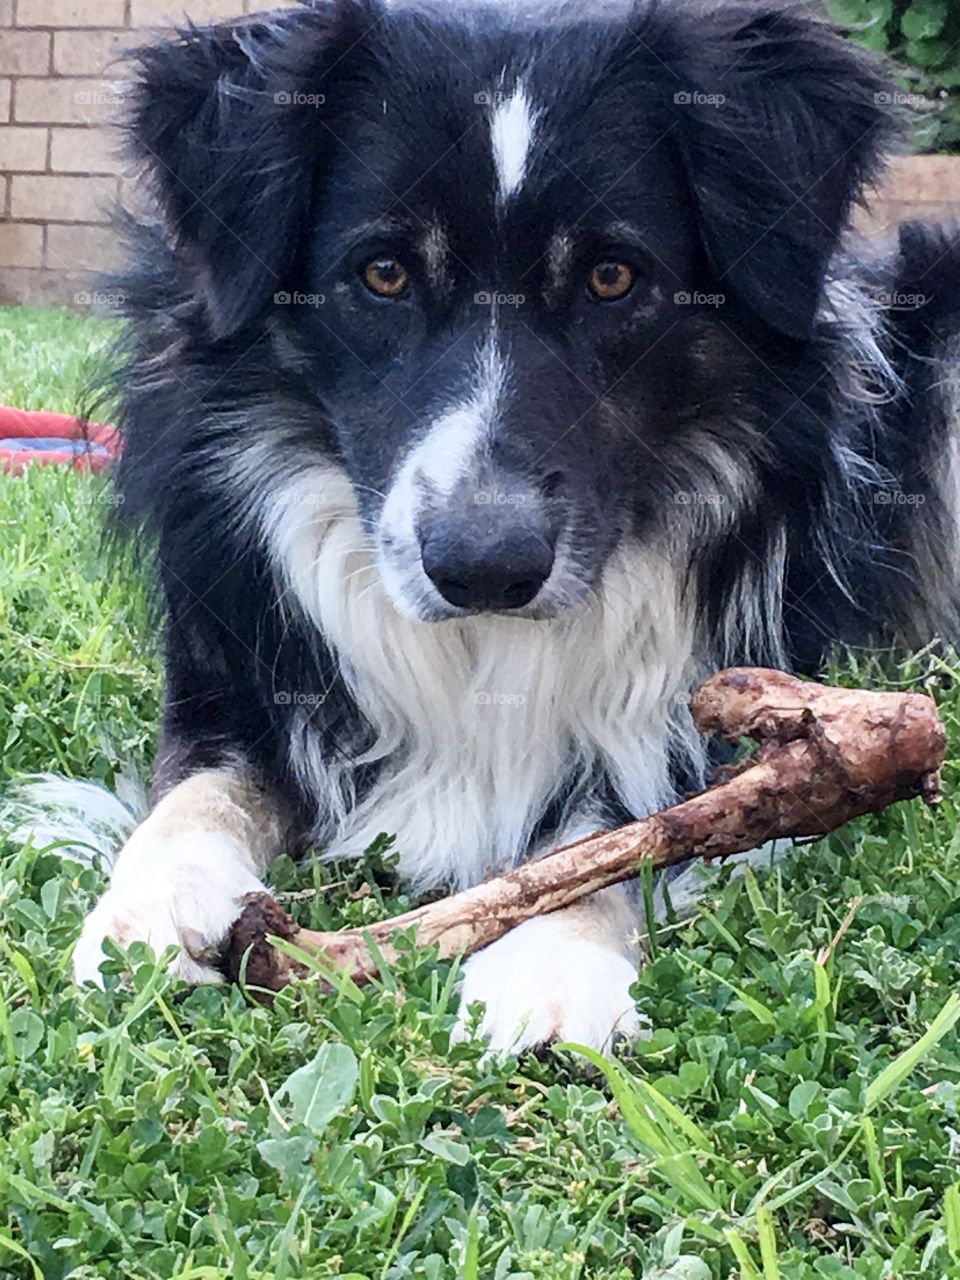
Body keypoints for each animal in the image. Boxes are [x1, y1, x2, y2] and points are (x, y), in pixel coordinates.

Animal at [37, 0, 960, 1049]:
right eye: (383, 273)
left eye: (612, 278)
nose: (485, 567)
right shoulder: (227, 676)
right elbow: (194, 790)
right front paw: (147, 909)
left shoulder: (712, 707)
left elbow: (614, 829)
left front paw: (555, 961)